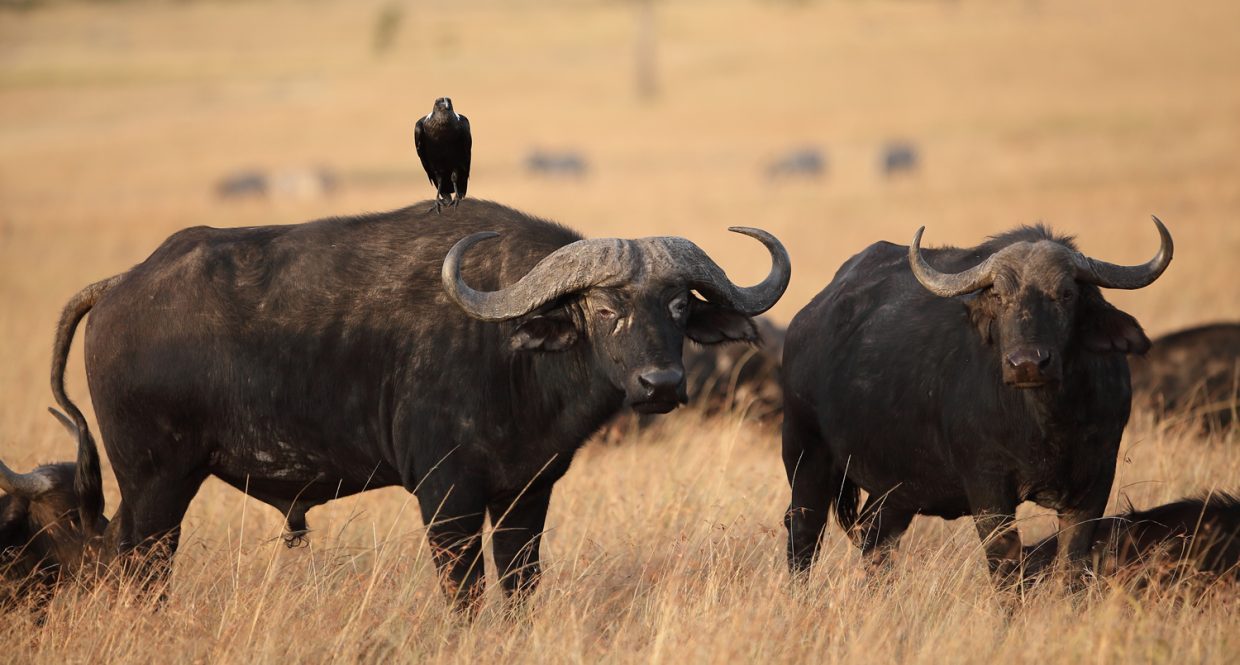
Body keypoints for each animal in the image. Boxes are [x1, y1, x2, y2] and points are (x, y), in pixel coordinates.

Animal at [19, 197, 788, 612]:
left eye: (679, 304)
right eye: (603, 307)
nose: (662, 384)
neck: (509, 354)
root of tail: (123, 283)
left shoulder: (528, 491)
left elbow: (520, 582)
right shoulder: (445, 495)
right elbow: (464, 591)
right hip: (156, 483)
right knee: (139, 569)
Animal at [783, 219, 1170, 588]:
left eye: (1066, 293)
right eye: (999, 295)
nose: (1027, 363)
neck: (1045, 424)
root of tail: (807, 319)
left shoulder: (1095, 482)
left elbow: (1072, 567)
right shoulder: (988, 488)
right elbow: (1006, 567)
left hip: (895, 488)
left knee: (875, 540)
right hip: (806, 454)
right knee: (803, 533)